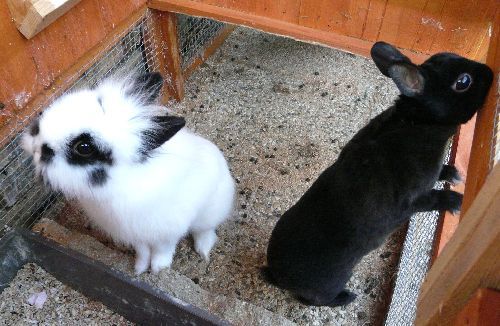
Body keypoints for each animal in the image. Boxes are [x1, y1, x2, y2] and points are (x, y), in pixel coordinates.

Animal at [21, 72, 236, 274]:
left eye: (84, 147)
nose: (37, 146)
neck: (119, 182)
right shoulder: (133, 234)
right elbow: (142, 251)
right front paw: (139, 269)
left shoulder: (166, 232)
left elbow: (163, 251)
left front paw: (158, 269)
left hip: (209, 212)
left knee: (205, 231)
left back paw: (203, 251)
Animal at [264, 42, 494, 306]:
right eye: (463, 82)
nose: (489, 72)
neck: (417, 121)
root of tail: (277, 276)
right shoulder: (412, 200)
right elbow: (433, 199)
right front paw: (456, 201)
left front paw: (452, 172)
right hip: (330, 283)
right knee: (313, 300)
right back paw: (346, 298)